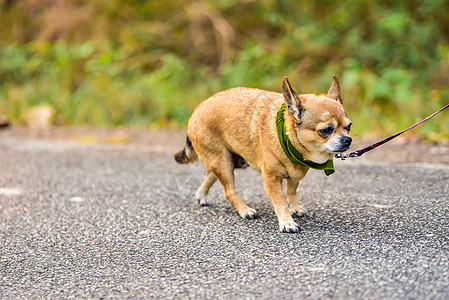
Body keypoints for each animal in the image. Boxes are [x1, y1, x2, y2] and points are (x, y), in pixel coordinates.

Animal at [173, 75, 352, 232]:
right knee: (229, 191)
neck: (288, 138)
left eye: (348, 127)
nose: (347, 140)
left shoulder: (295, 175)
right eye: (326, 130)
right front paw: (287, 222)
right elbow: (280, 200)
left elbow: (291, 192)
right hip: (223, 164)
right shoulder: (271, 180)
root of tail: (197, 110)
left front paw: (294, 208)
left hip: (225, 161)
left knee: (210, 175)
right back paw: (245, 210)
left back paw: (201, 195)